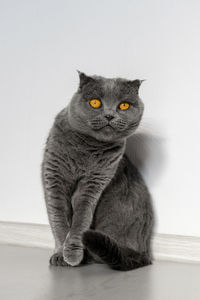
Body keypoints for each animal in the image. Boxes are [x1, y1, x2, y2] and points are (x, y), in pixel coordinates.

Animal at [40, 71, 153, 270]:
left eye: (123, 105)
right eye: (95, 103)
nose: (109, 116)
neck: (86, 150)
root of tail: (145, 254)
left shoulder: (94, 183)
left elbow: (81, 219)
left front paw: (72, 254)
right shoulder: (54, 178)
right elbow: (58, 218)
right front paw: (60, 254)